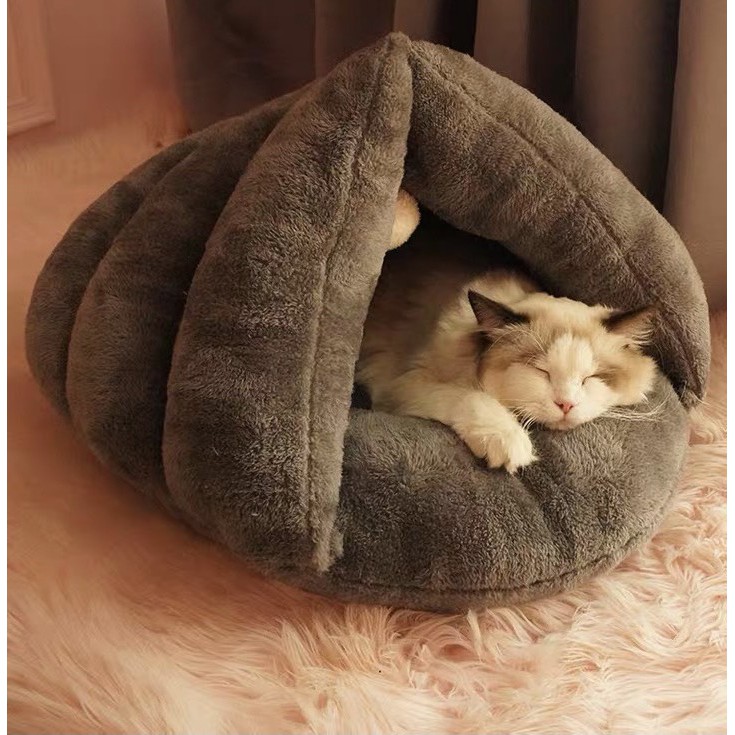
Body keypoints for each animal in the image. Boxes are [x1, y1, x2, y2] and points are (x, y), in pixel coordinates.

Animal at [357, 192, 658, 473]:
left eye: (591, 378)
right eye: (541, 371)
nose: (566, 406)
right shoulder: (403, 383)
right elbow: (472, 397)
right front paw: (510, 441)